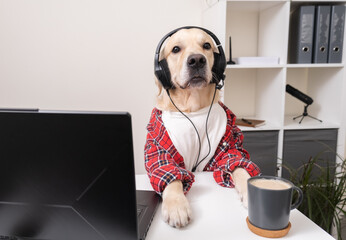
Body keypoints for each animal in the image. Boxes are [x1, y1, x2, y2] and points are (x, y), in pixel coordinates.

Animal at [145, 27, 260, 228]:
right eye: (176, 49)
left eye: (206, 45)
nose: (197, 60)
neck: (192, 109)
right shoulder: (158, 147)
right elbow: (170, 176)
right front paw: (176, 205)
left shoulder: (228, 145)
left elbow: (239, 166)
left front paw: (250, 192)